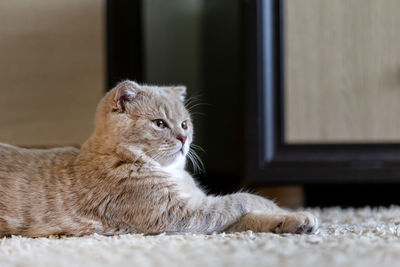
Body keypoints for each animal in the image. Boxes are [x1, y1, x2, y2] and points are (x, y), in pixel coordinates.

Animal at [0, 80, 318, 238]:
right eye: (160, 124)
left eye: (185, 124)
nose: (183, 138)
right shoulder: (182, 216)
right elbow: (241, 199)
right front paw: (278, 206)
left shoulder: (205, 215)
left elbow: (250, 218)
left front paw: (294, 219)